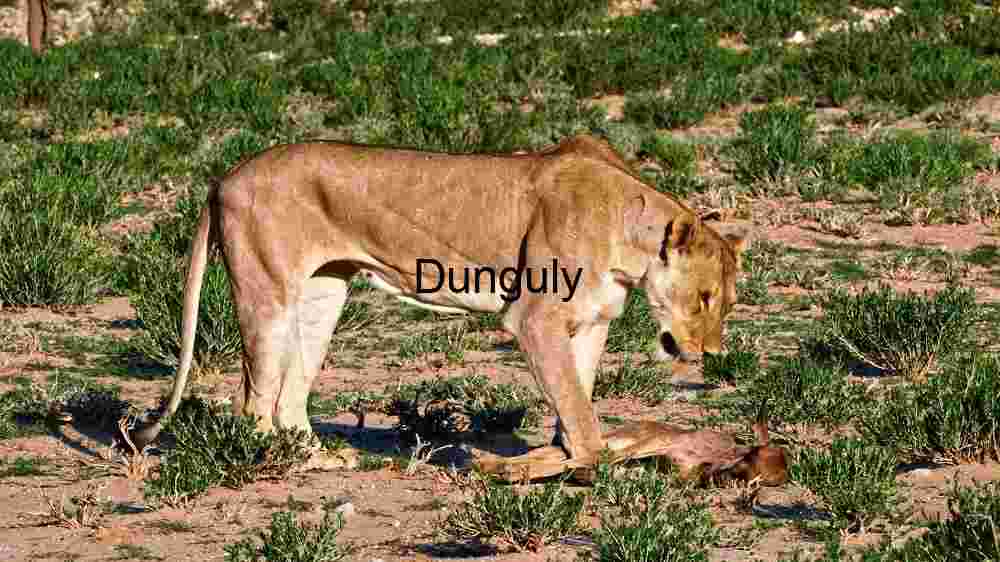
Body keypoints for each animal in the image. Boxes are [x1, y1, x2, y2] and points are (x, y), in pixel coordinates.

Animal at [128, 133, 750, 474]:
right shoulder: (535, 318)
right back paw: (276, 464)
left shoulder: (592, 322)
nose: (711, 354)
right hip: (268, 295)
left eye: (727, 303)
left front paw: (559, 454)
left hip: (323, 296)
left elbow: (578, 395)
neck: (630, 235)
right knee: (252, 403)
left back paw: (319, 457)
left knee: (287, 400)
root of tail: (223, 176)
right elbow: (580, 408)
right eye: (703, 298)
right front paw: (584, 464)